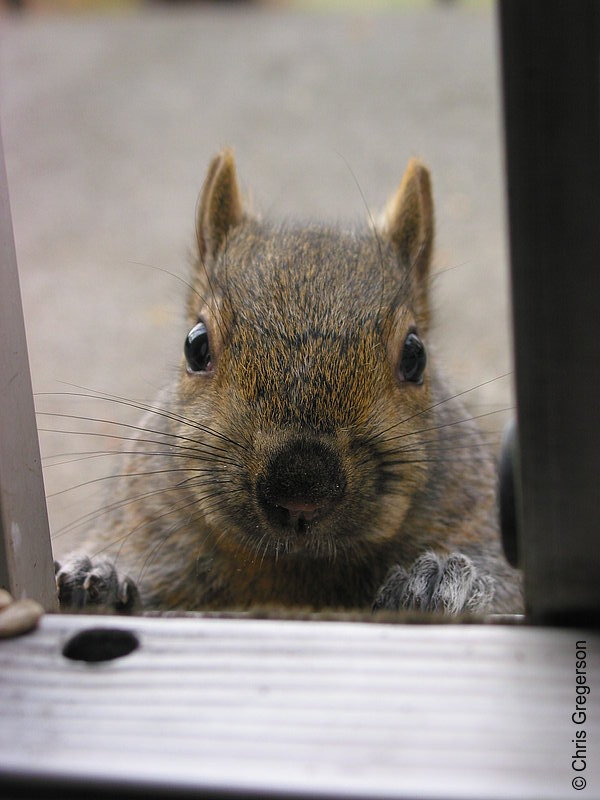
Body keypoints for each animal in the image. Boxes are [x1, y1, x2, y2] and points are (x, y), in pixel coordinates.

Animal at [57, 148, 524, 612]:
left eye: (415, 356)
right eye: (196, 346)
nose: (302, 489)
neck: (296, 573)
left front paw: (441, 583)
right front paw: (98, 576)